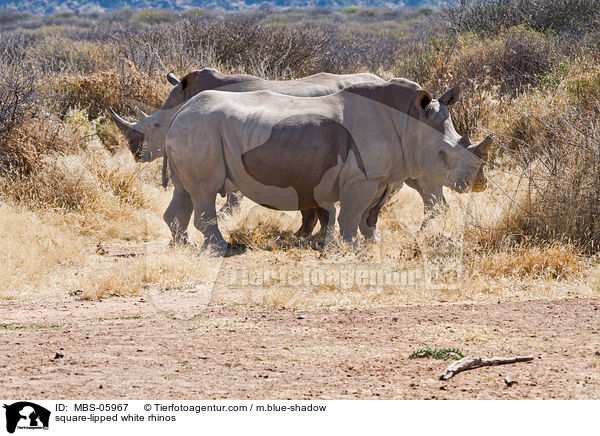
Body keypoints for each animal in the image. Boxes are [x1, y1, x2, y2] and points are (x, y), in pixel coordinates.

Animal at [109, 68, 450, 238]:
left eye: (155, 126)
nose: (135, 153)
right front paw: (307, 234)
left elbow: (235, 194)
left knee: (423, 176)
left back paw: (425, 232)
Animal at [161, 76, 492, 250]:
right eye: (443, 154)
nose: (478, 184)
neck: (409, 122)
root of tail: (178, 114)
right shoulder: (361, 177)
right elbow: (351, 215)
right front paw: (349, 247)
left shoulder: (379, 176)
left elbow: (370, 215)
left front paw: (373, 243)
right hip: (200, 129)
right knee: (205, 191)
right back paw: (221, 249)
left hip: (191, 131)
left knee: (184, 191)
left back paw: (184, 247)